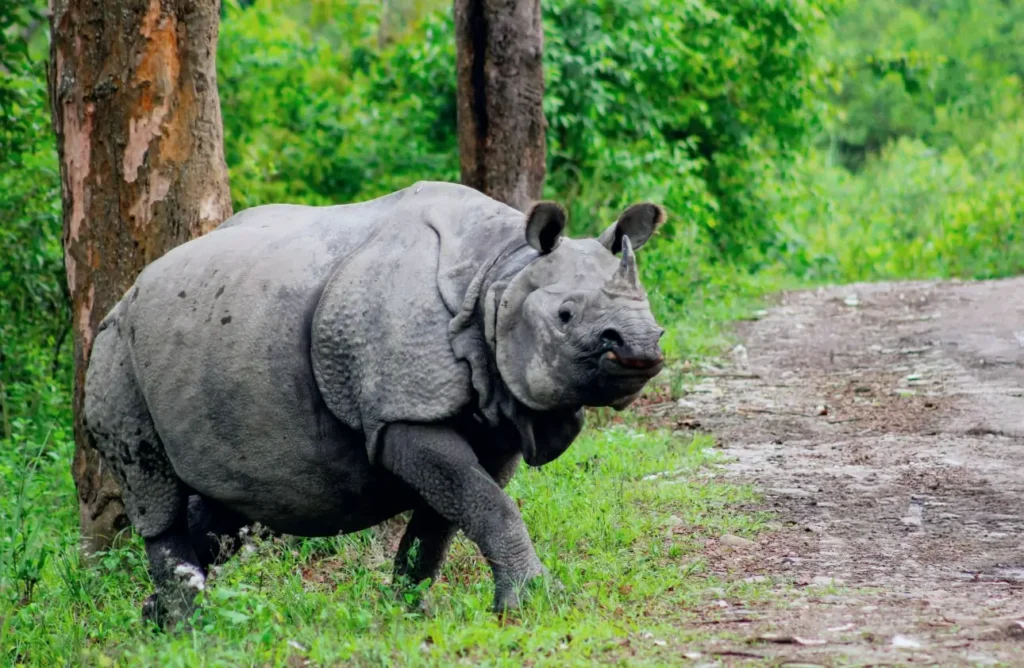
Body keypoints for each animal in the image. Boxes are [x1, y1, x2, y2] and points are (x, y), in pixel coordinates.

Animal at [83, 181, 666, 627]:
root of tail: (128, 292)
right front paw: (533, 605)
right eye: (565, 315)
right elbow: (485, 503)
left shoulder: (497, 415)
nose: (640, 347)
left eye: (650, 308)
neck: (499, 276)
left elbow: (449, 515)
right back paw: (189, 625)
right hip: (115, 352)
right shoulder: (398, 414)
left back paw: (158, 619)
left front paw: (410, 610)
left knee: (219, 503)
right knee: (154, 489)